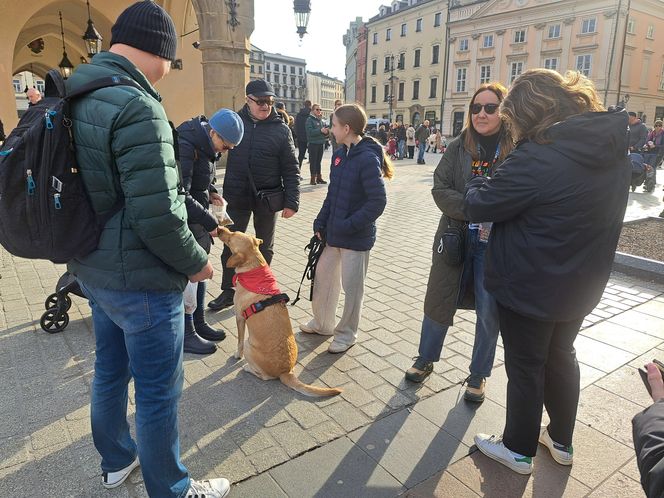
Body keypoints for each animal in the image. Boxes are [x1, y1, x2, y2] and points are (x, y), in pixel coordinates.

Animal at [218, 229, 342, 396]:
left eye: (230, 239)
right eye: (233, 231)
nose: (219, 229)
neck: (254, 268)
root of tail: (286, 372)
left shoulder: (240, 318)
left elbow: (239, 342)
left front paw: (237, 356)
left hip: (250, 346)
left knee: (265, 376)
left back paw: (248, 368)